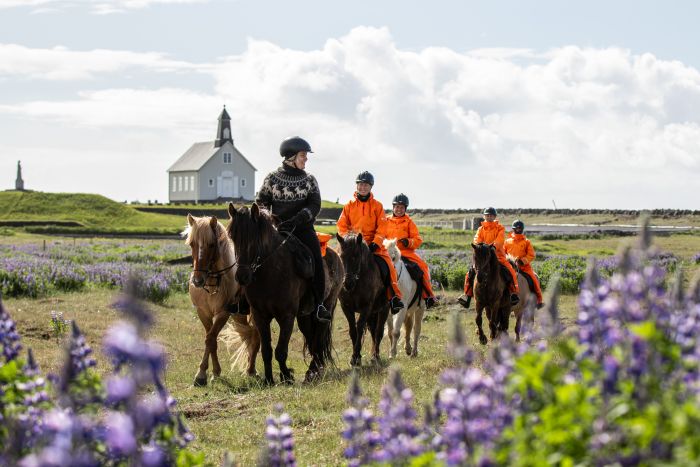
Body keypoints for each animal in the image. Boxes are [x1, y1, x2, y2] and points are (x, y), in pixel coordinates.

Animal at [186, 214, 260, 386]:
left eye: (212, 244)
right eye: (192, 243)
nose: (197, 281)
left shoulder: (223, 313)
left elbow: (210, 338)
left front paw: (201, 374)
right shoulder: (203, 313)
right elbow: (211, 340)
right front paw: (213, 373)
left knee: (256, 336)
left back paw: (251, 371)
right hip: (239, 315)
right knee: (248, 336)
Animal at [226, 203, 344, 386]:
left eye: (254, 238)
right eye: (233, 237)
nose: (242, 276)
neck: (271, 273)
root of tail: (336, 255)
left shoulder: (286, 316)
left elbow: (281, 350)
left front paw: (287, 377)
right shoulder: (260, 316)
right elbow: (266, 350)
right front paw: (269, 379)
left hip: (327, 306)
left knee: (318, 339)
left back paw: (314, 371)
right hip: (304, 316)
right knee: (311, 338)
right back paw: (312, 371)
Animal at [334, 232, 388, 368]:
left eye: (356, 256)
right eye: (341, 256)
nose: (347, 283)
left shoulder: (366, 307)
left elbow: (359, 328)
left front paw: (356, 357)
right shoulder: (346, 307)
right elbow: (353, 329)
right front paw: (355, 357)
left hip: (384, 309)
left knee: (378, 332)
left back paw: (376, 356)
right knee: (373, 330)